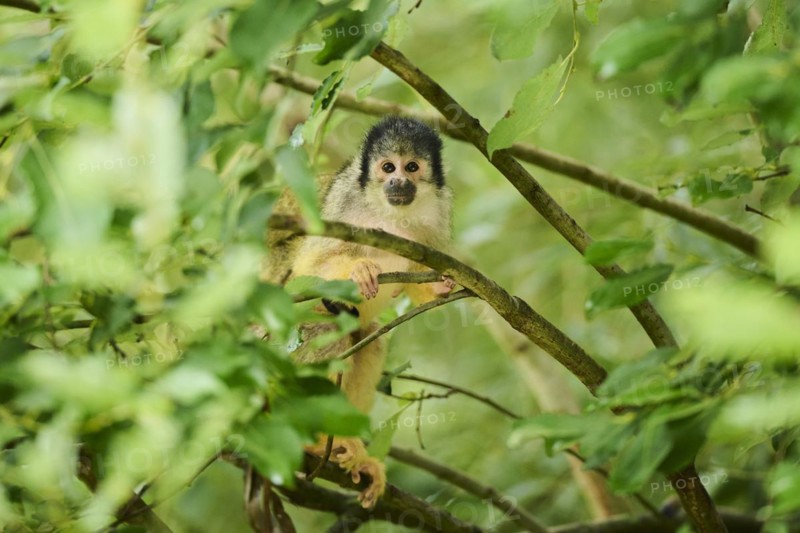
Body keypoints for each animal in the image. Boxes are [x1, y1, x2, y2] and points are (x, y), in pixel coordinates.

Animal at [265, 116, 455, 508]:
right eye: (388, 168)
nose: (399, 183)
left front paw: (442, 287)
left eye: (412, 167)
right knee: (326, 324)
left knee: (367, 340)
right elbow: (309, 264)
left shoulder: (439, 213)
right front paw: (358, 271)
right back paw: (318, 441)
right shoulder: (343, 202)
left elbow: (419, 277)